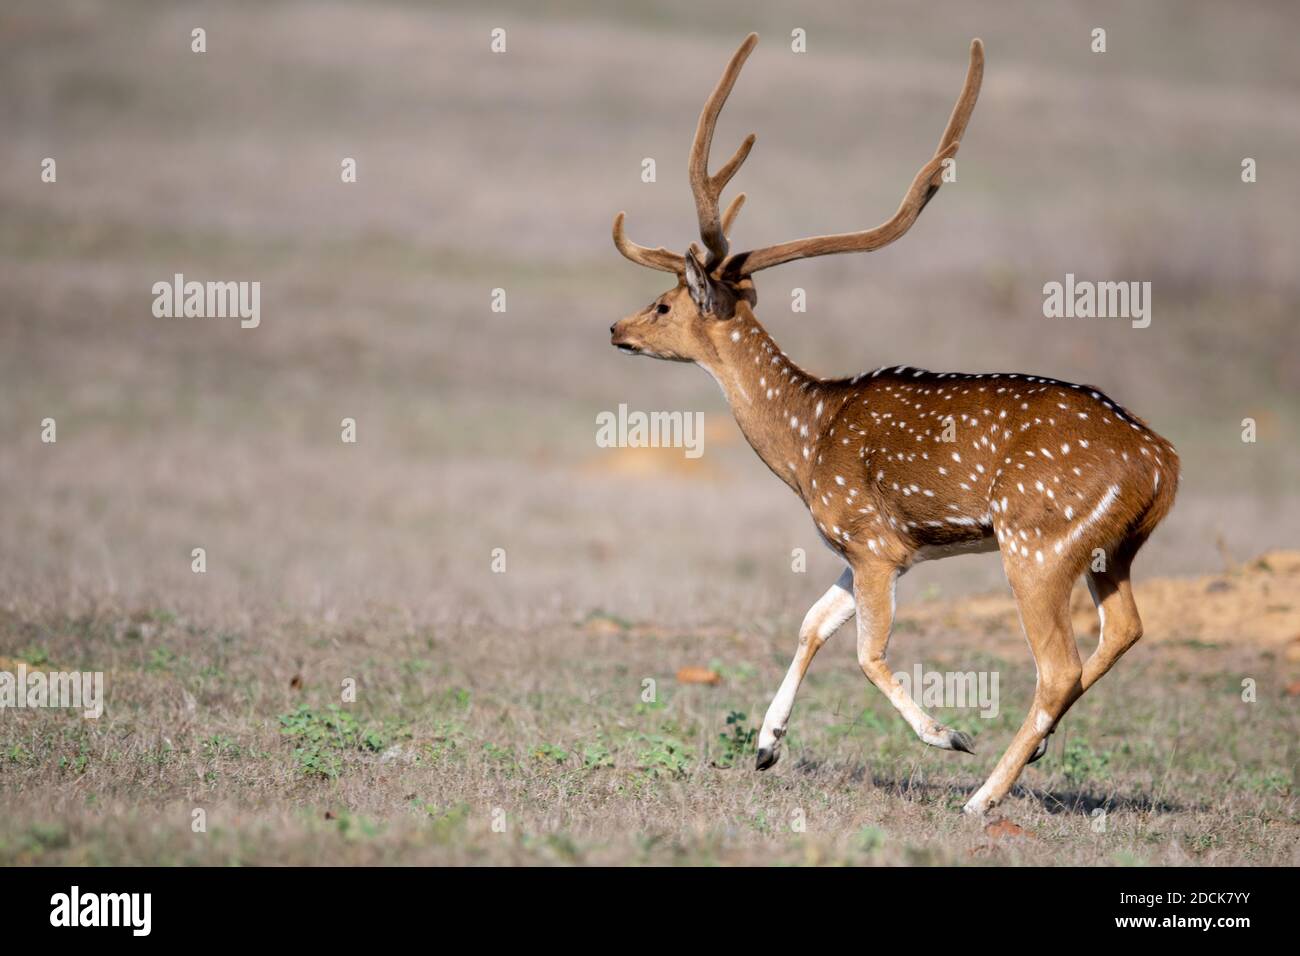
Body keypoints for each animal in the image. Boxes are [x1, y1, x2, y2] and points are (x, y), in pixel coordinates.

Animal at [608, 33, 1180, 816]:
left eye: (664, 304)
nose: (616, 329)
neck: (806, 446)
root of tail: (1164, 464)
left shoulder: (872, 540)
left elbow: (866, 652)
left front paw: (946, 735)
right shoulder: (867, 548)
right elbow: (811, 622)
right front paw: (766, 745)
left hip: (1038, 540)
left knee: (1058, 664)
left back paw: (982, 794)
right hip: (1109, 550)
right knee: (1125, 630)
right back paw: (1035, 751)